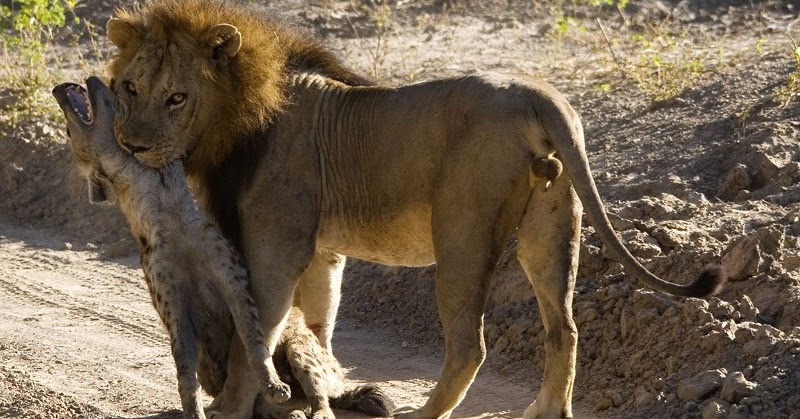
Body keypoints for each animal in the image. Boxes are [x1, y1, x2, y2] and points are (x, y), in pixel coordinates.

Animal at [105, 1, 725, 418]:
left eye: (176, 98)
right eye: (130, 88)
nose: (131, 145)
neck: (238, 114)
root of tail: (538, 92)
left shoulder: (276, 244)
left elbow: (252, 331)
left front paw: (236, 406)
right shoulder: (323, 252)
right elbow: (319, 322)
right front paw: (329, 389)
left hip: (462, 234)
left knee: (470, 344)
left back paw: (425, 413)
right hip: (550, 228)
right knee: (564, 327)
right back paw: (546, 410)